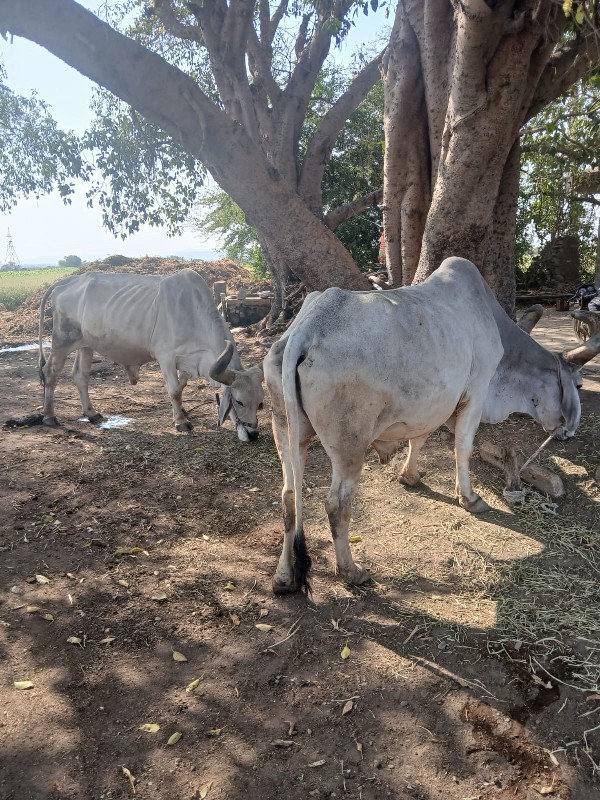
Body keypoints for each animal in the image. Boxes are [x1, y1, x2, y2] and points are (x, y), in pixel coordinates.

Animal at [37, 272, 262, 440]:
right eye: (239, 402)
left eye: (260, 403)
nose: (253, 435)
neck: (192, 311)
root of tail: (67, 282)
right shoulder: (166, 357)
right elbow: (174, 391)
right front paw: (181, 422)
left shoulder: (188, 361)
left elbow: (182, 386)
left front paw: (182, 412)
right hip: (62, 340)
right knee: (51, 372)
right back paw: (49, 416)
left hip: (86, 345)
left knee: (81, 376)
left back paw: (92, 413)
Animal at [268, 256, 600, 592]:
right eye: (579, 385)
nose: (568, 433)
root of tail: (305, 330)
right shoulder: (476, 394)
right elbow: (463, 449)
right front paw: (469, 498)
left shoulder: (432, 405)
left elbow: (418, 439)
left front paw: (410, 477)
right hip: (349, 444)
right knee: (336, 505)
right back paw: (351, 571)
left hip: (284, 429)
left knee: (289, 497)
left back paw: (283, 577)